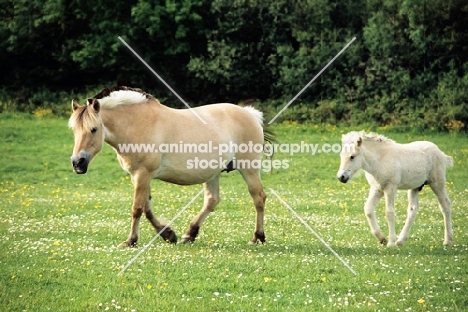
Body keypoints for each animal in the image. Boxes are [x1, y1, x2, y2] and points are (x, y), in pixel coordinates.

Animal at [69, 86, 274, 246]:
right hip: (213, 174)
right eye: (74, 130)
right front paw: (168, 235)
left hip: (249, 168)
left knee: (258, 198)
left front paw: (131, 241)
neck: (137, 124)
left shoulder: (143, 174)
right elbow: (147, 208)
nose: (77, 163)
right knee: (212, 200)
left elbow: (137, 208)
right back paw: (189, 234)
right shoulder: (139, 175)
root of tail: (250, 114)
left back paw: (258, 237)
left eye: (94, 129)